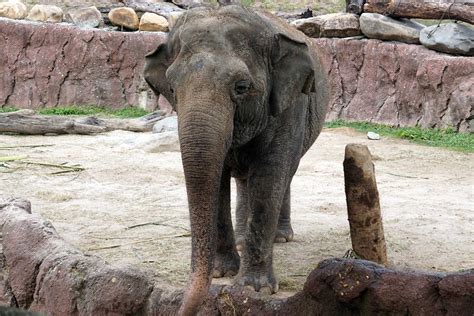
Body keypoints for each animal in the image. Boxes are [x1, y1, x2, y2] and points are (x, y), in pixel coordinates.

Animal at [144, 5, 330, 316]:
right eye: (171, 87)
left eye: (242, 87)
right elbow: (217, 180)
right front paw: (222, 273)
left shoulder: (290, 108)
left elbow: (270, 177)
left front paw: (254, 288)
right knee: (245, 180)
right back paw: (243, 240)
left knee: (285, 175)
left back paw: (282, 237)